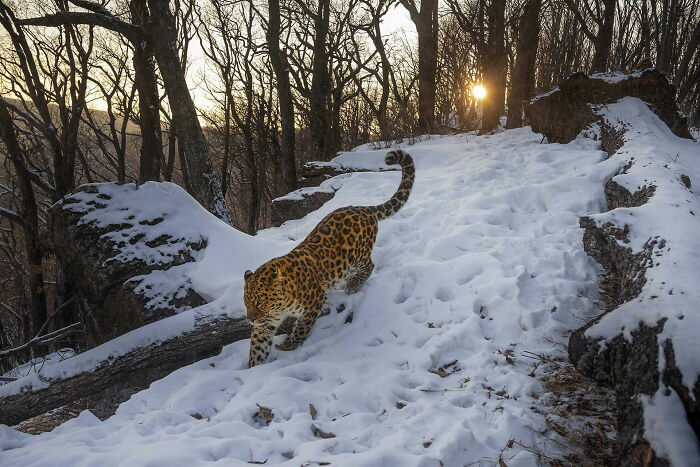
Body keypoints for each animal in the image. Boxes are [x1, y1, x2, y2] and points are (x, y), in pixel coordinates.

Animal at [243, 149, 415, 367]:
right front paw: (253, 367)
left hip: (355, 257)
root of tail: (363, 208)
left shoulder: (313, 303)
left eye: (260, 302)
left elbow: (301, 328)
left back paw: (352, 286)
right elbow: (258, 345)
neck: (281, 304)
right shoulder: (267, 320)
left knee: (369, 265)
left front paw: (288, 346)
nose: (250, 320)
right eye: (246, 302)